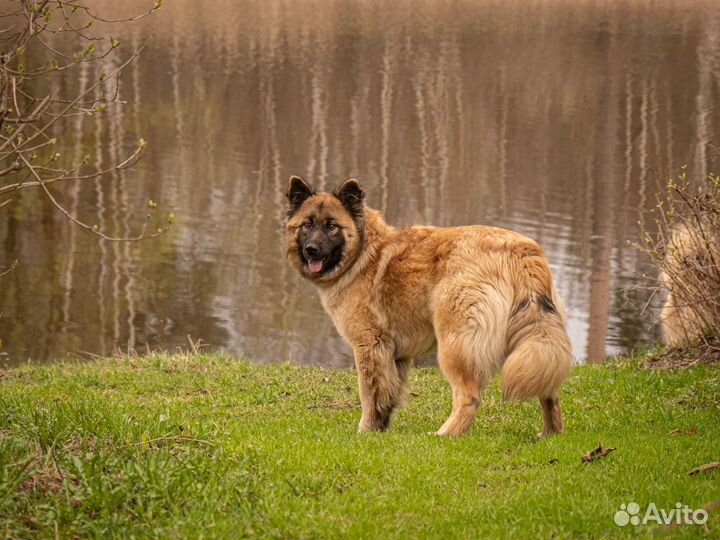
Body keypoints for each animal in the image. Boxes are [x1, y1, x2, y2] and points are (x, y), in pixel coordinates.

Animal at [286, 177, 572, 438]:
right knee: (548, 387)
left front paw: (365, 431)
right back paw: (550, 434)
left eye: (332, 226)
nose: (311, 249)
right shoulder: (395, 354)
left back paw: (445, 434)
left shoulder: (369, 346)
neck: (363, 253)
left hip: (455, 344)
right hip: (535, 338)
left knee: (469, 396)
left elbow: (369, 394)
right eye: (307, 225)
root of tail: (520, 251)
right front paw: (380, 429)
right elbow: (387, 395)